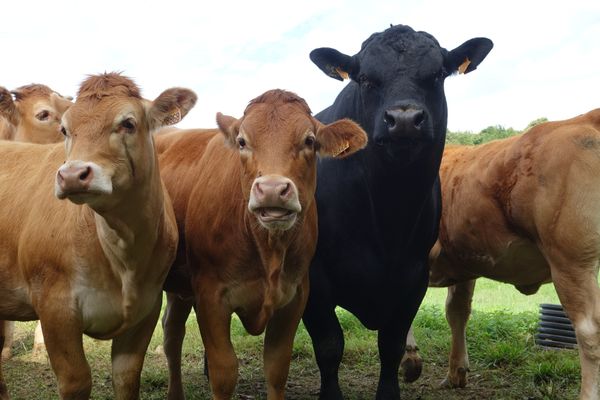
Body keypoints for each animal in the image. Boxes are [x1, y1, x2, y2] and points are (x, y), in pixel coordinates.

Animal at [0, 72, 195, 400]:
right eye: (65, 129)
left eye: (128, 123)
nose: (72, 175)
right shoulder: (55, 308)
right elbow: (77, 380)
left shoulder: (146, 309)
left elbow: (127, 378)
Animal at [156, 90, 366, 400]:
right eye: (242, 142)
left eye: (309, 140)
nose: (271, 189)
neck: (269, 251)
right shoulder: (210, 295)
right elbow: (224, 373)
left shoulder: (294, 296)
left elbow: (277, 368)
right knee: (172, 336)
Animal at [304, 25, 492, 400]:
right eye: (365, 78)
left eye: (437, 75)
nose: (404, 120)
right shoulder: (313, 277)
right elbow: (330, 346)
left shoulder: (413, 275)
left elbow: (390, 347)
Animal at [400, 108, 600, 400]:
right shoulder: (464, 264)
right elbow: (457, 311)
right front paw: (456, 372)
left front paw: (409, 359)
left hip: (571, 263)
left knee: (589, 332)